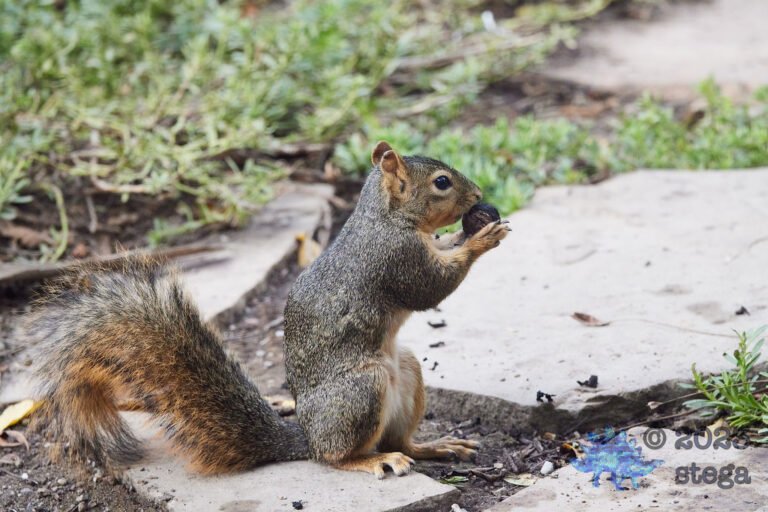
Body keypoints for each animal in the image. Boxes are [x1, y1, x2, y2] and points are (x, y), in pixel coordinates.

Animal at [24, 141, 509, 478]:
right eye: (442, 182)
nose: (479, 194)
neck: (384, 216)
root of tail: (306, 436)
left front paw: (472, 231)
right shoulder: (395, 258)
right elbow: (431, 289)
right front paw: (483, 238)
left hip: (404, 370)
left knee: (402, 440)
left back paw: (435, 447)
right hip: (361, 389)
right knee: (335, 456)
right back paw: (370, 460)